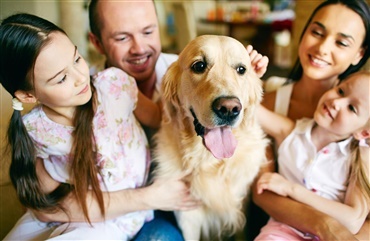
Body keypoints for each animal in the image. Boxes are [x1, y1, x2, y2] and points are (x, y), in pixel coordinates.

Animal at [152, 34, 268, 240]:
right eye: (199, 66)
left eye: (241, 69)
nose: (229, 108)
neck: (210, 162)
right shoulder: (188, 218)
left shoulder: (240, 206)